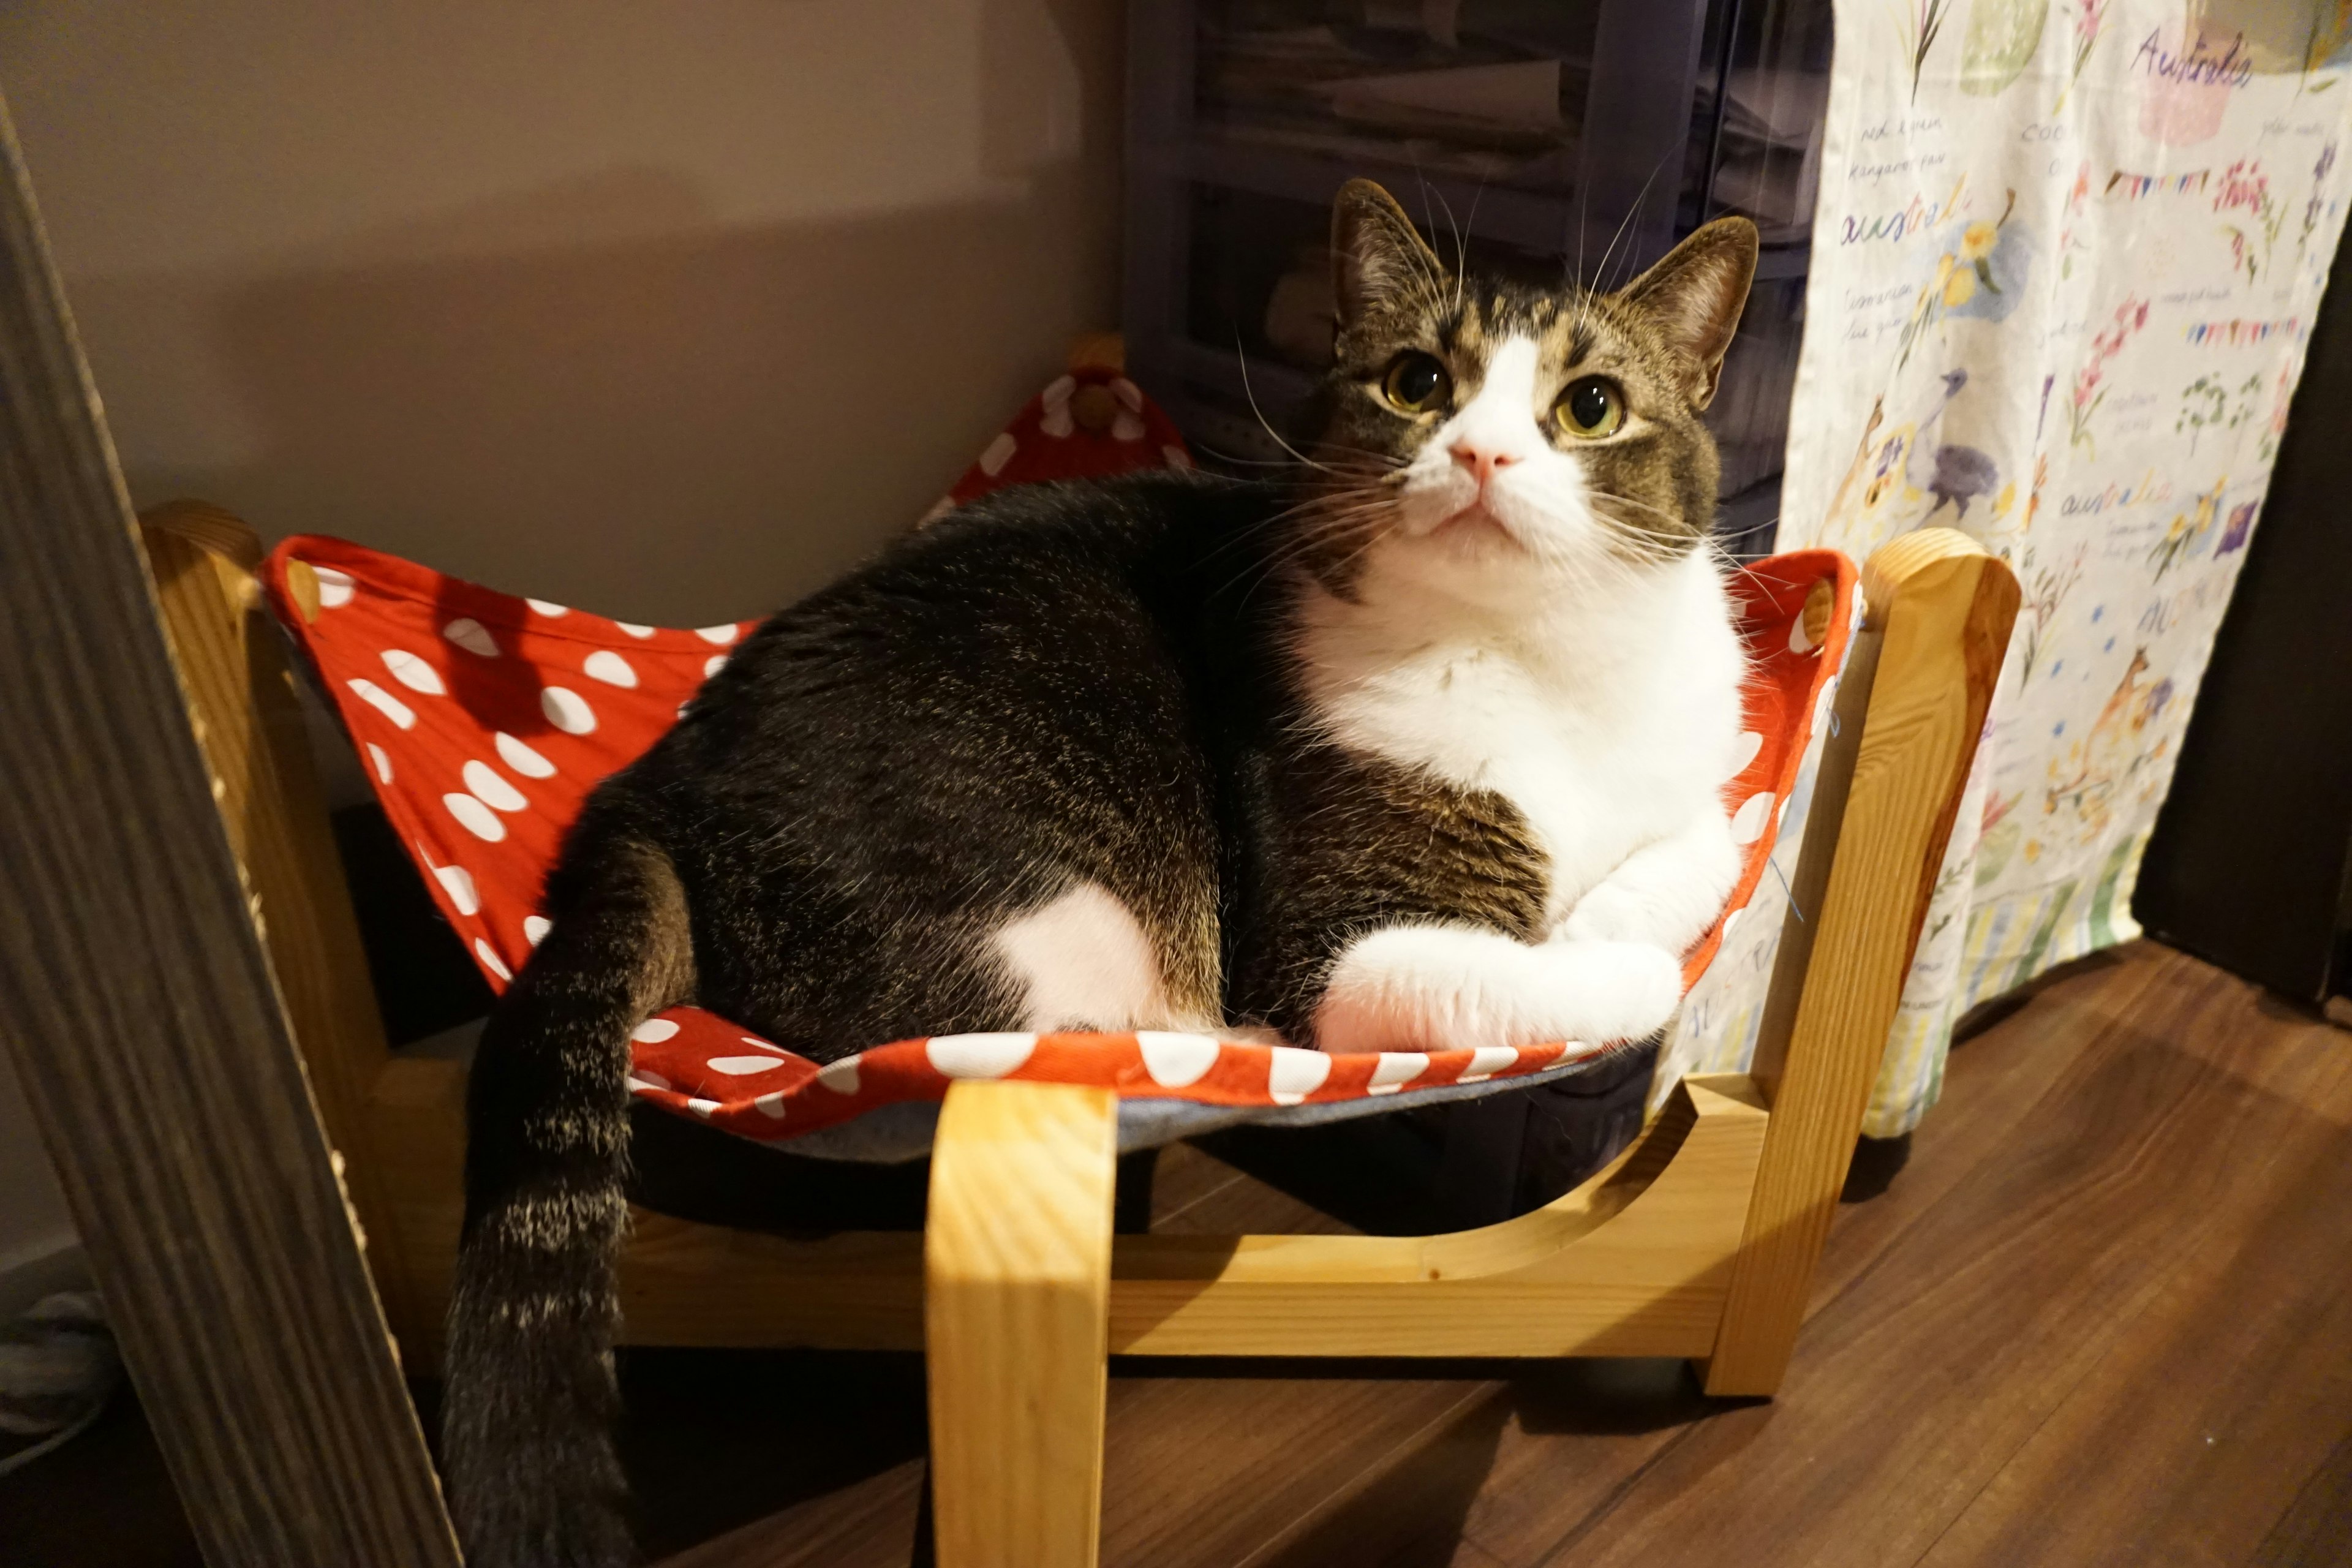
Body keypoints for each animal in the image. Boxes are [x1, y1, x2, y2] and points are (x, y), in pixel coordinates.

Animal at [449, 177, 1759, 1561]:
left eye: (1592, 405)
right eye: (1418, 382)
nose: (1482, 456)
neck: (1536, 653)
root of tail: (647, 783)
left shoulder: (1697, 763)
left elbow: (1708, 838)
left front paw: (1614, 907)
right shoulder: (1336, 946)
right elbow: (1531, 977)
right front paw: (1613, 971)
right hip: (1037, 908)